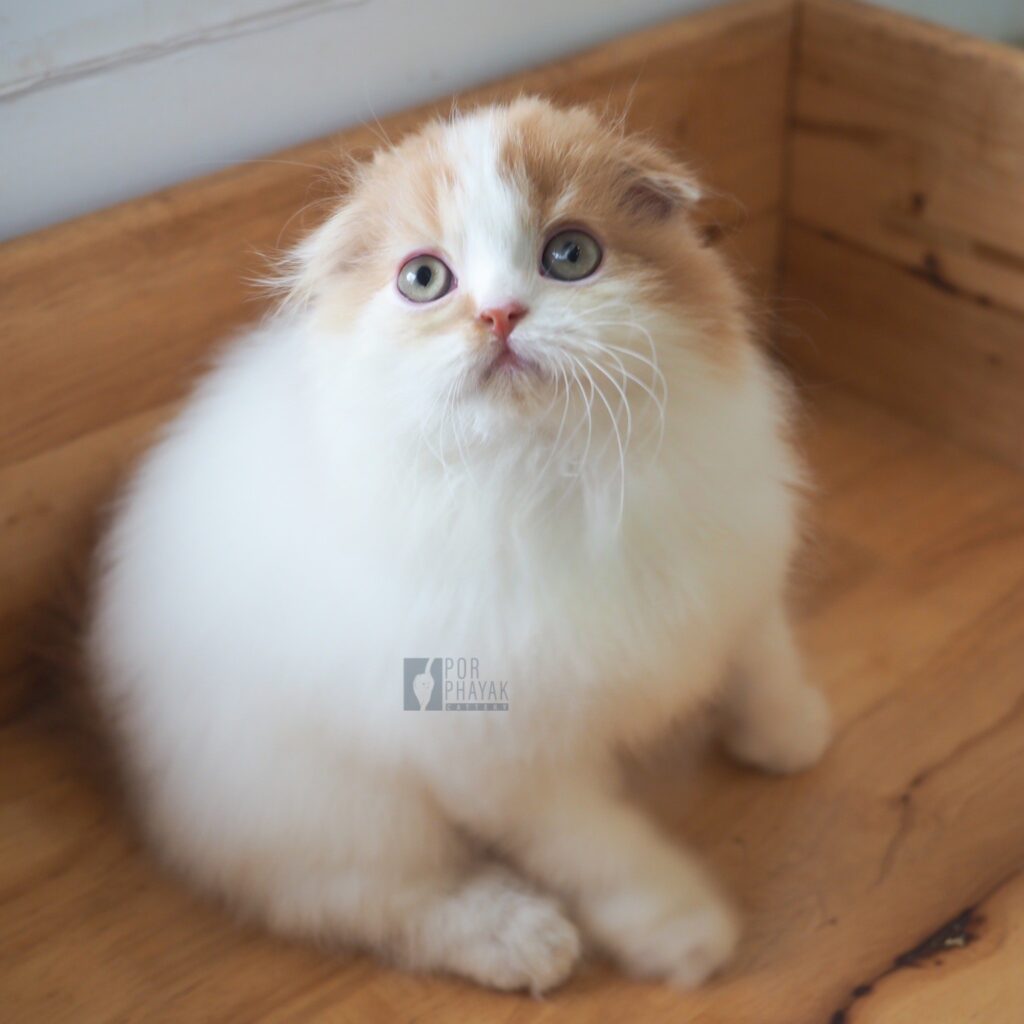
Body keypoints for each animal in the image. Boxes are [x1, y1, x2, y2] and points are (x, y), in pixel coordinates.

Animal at [88, 97, 831, 991]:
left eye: (571, 256)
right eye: (424, 279)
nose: (498, 315)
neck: (556, 474)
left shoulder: (735, 571)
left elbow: (764, 660)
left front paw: (790, 737)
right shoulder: (505, 760)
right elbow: (605, 851)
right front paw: (682, 931)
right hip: (349, 813)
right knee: (368, 903)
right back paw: (522, 939)